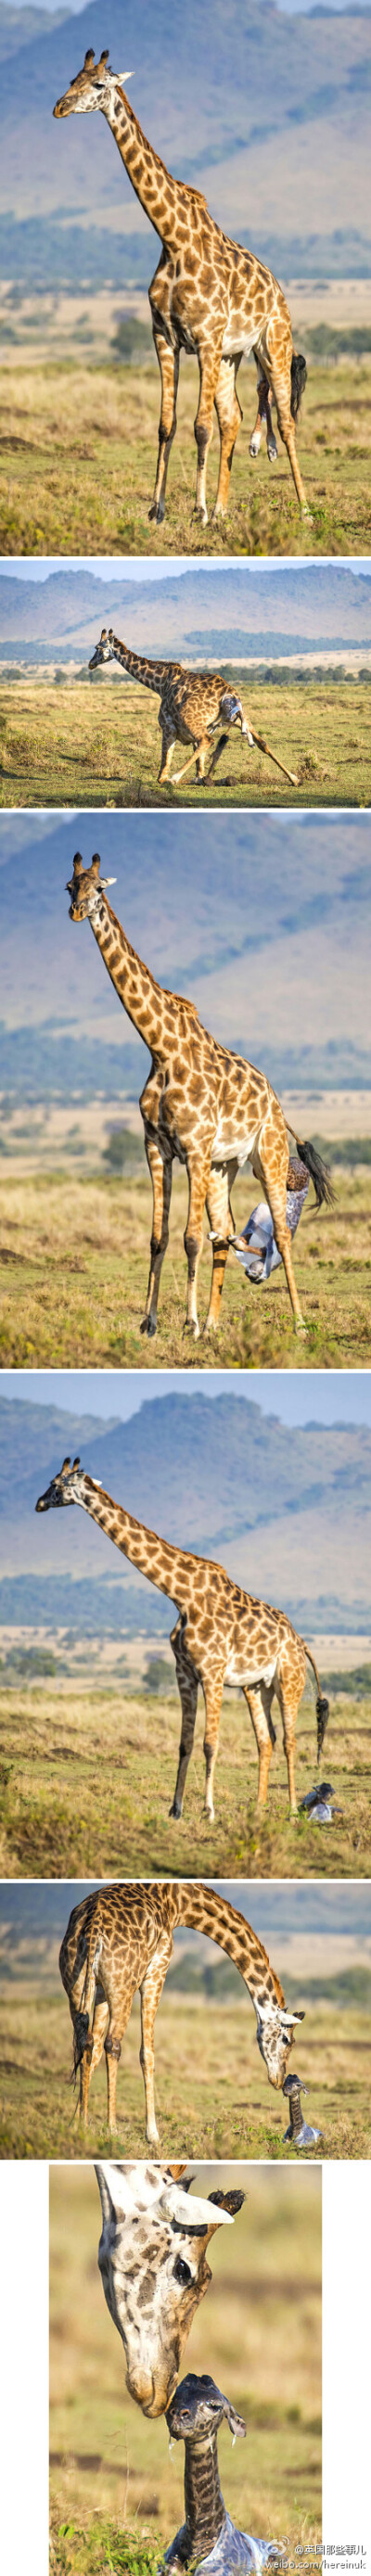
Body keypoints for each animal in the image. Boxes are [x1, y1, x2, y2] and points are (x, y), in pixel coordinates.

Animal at [36, 1462, 328, 1823]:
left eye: (56, 1484)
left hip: (290, 1680)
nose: (39, 1503)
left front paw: (208, 1810)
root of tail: (300, 1642)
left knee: (290, 1741)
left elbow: (209, 1743)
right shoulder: (184, 1673)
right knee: (266, 1739)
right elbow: (185, 1743)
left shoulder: (212, 1673)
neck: (181, 1597)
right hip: (257, 1687)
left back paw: (289, 1811)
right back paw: (258, 1809)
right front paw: (175, 1809)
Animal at [53, 45, 309, 520]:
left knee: (284, 421)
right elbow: (166, 425)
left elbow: (200, 426)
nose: (59, 107)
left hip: (273, 346)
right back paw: (224, 510)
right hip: (231, 356)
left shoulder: (204, 339)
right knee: (234, 416)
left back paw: (301, 510)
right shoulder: (165, 337)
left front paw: (197, 510)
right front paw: (158, 510)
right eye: (70, 79)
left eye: (98, 84)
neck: (172, 239)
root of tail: (278, 292)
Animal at [59, 1885, 303, 2143]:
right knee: (113, 2044)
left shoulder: (101, 1990)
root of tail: (93, 1926)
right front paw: (152, 2134)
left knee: (86, 2042)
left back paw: (85, 2125)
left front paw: (78, 2123)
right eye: (287, 2040)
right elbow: (147, 2053)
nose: (279, 2080)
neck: (176, 1901)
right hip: (123, 1986)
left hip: (78, 1985)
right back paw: (113, 2129)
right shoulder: (156, 1970)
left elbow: (93, 2051)